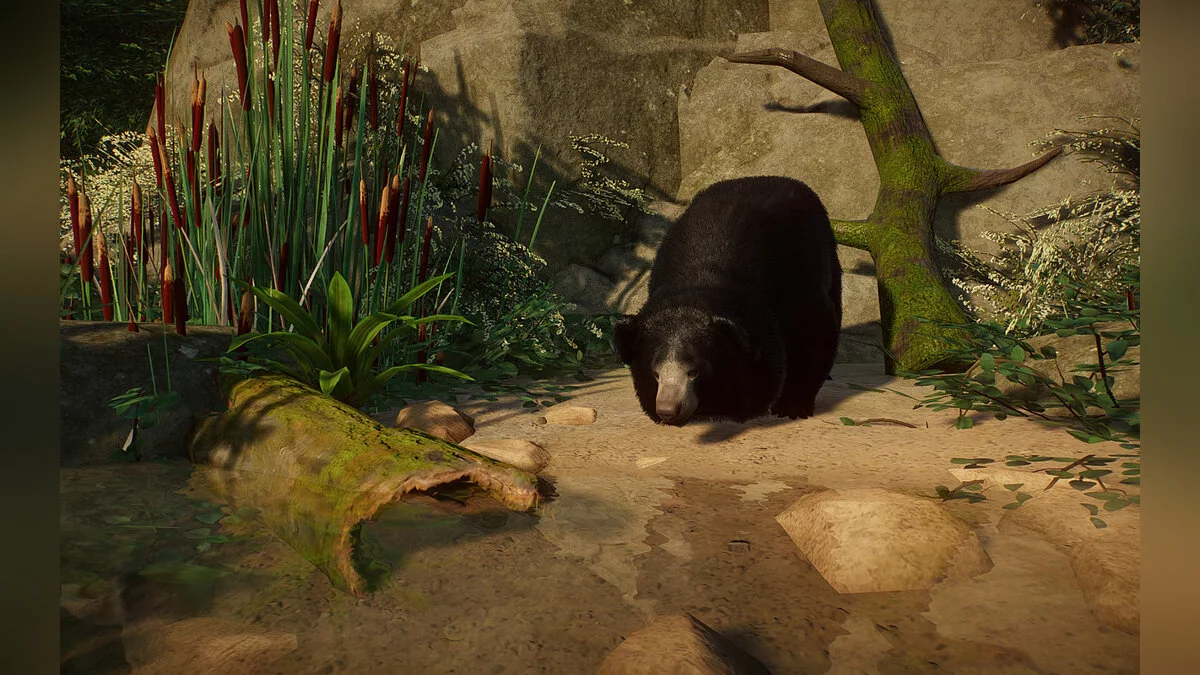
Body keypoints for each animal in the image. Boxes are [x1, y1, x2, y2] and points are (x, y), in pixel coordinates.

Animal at [613, 176, 842, 425]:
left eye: (694, 371)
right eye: (656, 373)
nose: (668, 410)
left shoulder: (792, 279)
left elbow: (813, 330)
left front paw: (790, 406)